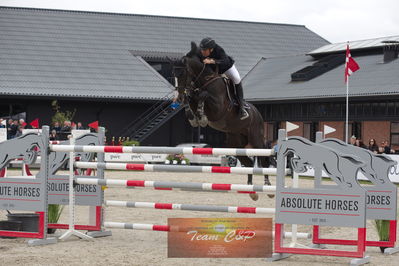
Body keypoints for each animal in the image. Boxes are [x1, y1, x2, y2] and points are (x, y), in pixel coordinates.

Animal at [173, 41, 274, 200]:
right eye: (173, 75)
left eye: (183, 73)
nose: (179, 98)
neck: (205, 80)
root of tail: (258, 114)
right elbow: (192, 99)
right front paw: (194, 117)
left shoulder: (218, 109)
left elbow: (203, 95)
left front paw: (201, 116)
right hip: (236, 143)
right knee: (248, 162)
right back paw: (251, 191)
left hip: (255, 137)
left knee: (263, 158)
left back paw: (268, 187)